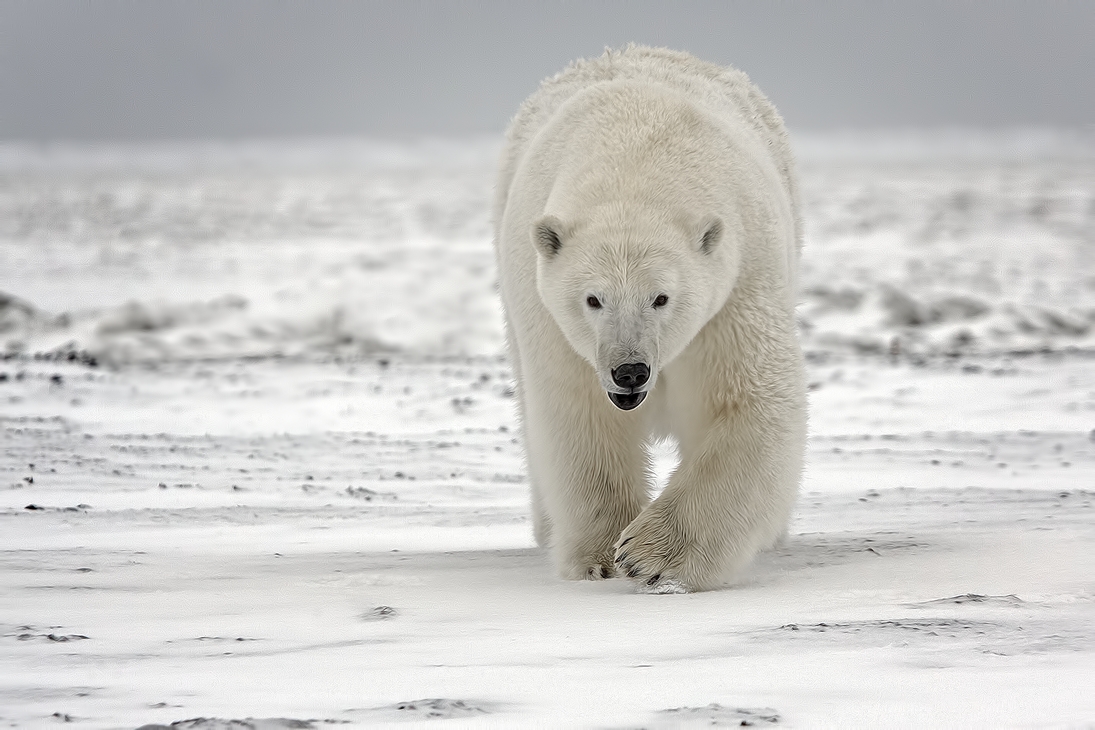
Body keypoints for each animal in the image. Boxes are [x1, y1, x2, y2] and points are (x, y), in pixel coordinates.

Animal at [492, 47, 810, 595]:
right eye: (593, 299)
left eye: (661, 298)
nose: (630, 371)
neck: (637, 156)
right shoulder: (550, 317)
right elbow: (579, 415)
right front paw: (600, 556)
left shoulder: (739, 280)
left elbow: (746, 400)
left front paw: (652, 556)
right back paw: (548, 530)